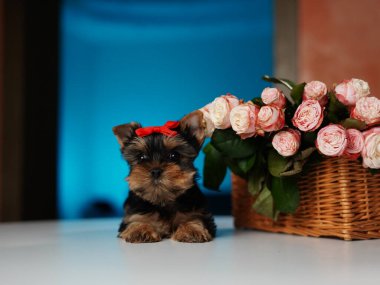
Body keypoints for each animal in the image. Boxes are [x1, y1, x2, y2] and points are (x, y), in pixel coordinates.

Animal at [111, 110, 215, 242]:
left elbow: (195, 218)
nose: (156, 171)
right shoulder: (134, 213)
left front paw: (192, 229)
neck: (163, 200)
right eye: (141, 157)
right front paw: (140, 229)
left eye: (174, 155)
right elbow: (136, 219)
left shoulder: (198, 211)